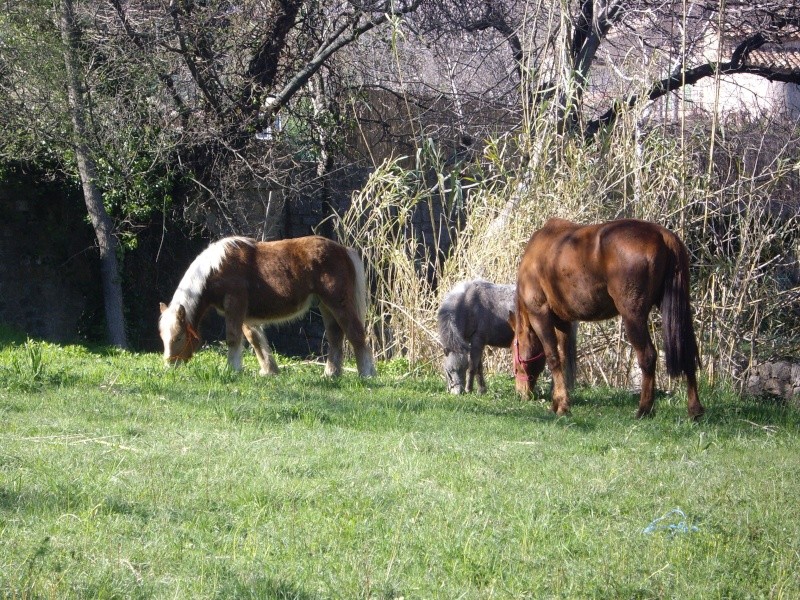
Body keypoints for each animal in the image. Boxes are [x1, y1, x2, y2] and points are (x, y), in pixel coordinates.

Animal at [162, 233, 378, 376]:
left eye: (179, 337)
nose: (169, 366)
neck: (217, 268)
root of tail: (344, 250)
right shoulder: (244, 313)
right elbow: (255, 339)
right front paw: (269, 370)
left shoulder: (235, 305)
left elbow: (233, 338)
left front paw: (232, 369)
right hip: (325, 305)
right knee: (335, 337)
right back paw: (331, 374)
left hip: (339, 303)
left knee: (355, 334)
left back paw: (366, 374)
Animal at [516, 218, 704, 420]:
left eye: (516, 361)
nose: (521, 393)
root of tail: (663, 234)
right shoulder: (563, 322)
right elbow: (564, 358)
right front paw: (558, 403)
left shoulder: (540, 314)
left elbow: (553, 358)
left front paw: (562, 406)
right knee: (687, 353)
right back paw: (695, 410)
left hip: (633, 316)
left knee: (648, 356)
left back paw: (644, 409)